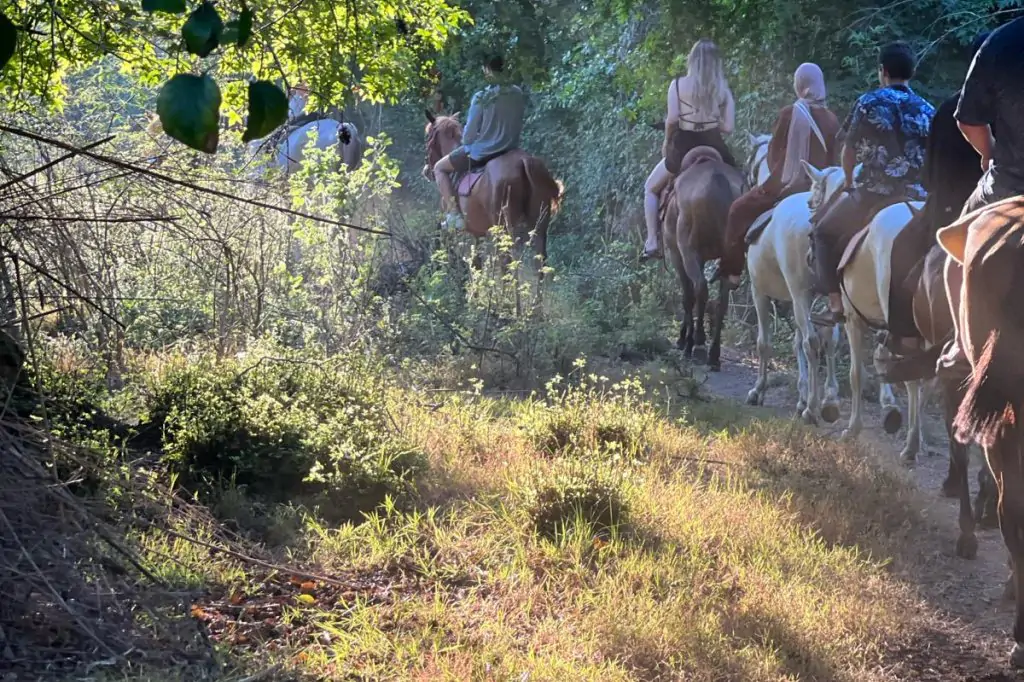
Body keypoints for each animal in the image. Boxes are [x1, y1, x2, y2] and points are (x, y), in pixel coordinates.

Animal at [421, 110, 565, 261]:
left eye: (427, 137)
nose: (427, 171)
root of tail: (523, 160)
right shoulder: (478, 233)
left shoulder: (467, 232)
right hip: (538, 227)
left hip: (503, 230)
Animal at [663, 146, 745, 368]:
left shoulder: (677, 254)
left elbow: (687, 294)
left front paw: (683, 339)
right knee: (722, 299)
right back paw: (713, 354)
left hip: (688, 251)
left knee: (700, 288)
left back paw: (696, 342)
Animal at [745, 159, 839, 421]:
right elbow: (800, 342)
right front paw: (803, 396)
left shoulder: (761, 292)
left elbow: (764, 343)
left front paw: (758, 390)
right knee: (828, 339)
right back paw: (827, 400)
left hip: (797, 294)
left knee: (813, 342)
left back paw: (812, 409)